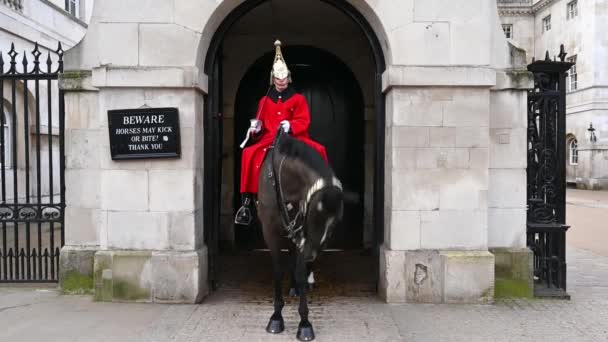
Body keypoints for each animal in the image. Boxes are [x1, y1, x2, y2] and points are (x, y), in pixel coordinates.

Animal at [255, 127, 344, 340]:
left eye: (335, 223)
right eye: (315, 216)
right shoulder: (270, 232)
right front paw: (276, 317)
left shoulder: (301, 234)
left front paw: (304, 323)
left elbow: (301, 271)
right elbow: (277, 271)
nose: (312, 255)